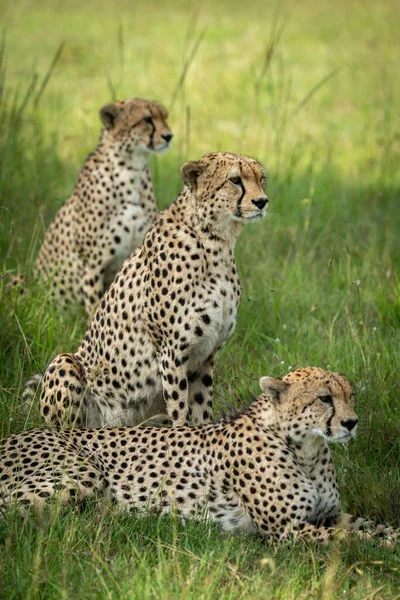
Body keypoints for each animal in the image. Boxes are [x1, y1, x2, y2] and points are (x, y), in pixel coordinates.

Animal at [0, 368, 396, 548]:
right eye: (325, 398)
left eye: (351, 396)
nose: (352, 422)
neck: (306, 449)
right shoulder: (286, 531)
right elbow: (356, 540)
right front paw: (389, 546)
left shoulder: (328, 515)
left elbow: (371, 526)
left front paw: (390, 534)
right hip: (81, 473)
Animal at [36, 152, 268, 428]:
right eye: (235, 180)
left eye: (262, 178)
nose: (262, 201)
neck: (215, 242)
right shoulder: (171, 352)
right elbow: (180, 411)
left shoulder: (204, 357)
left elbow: (201, 413)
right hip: (67, 362)